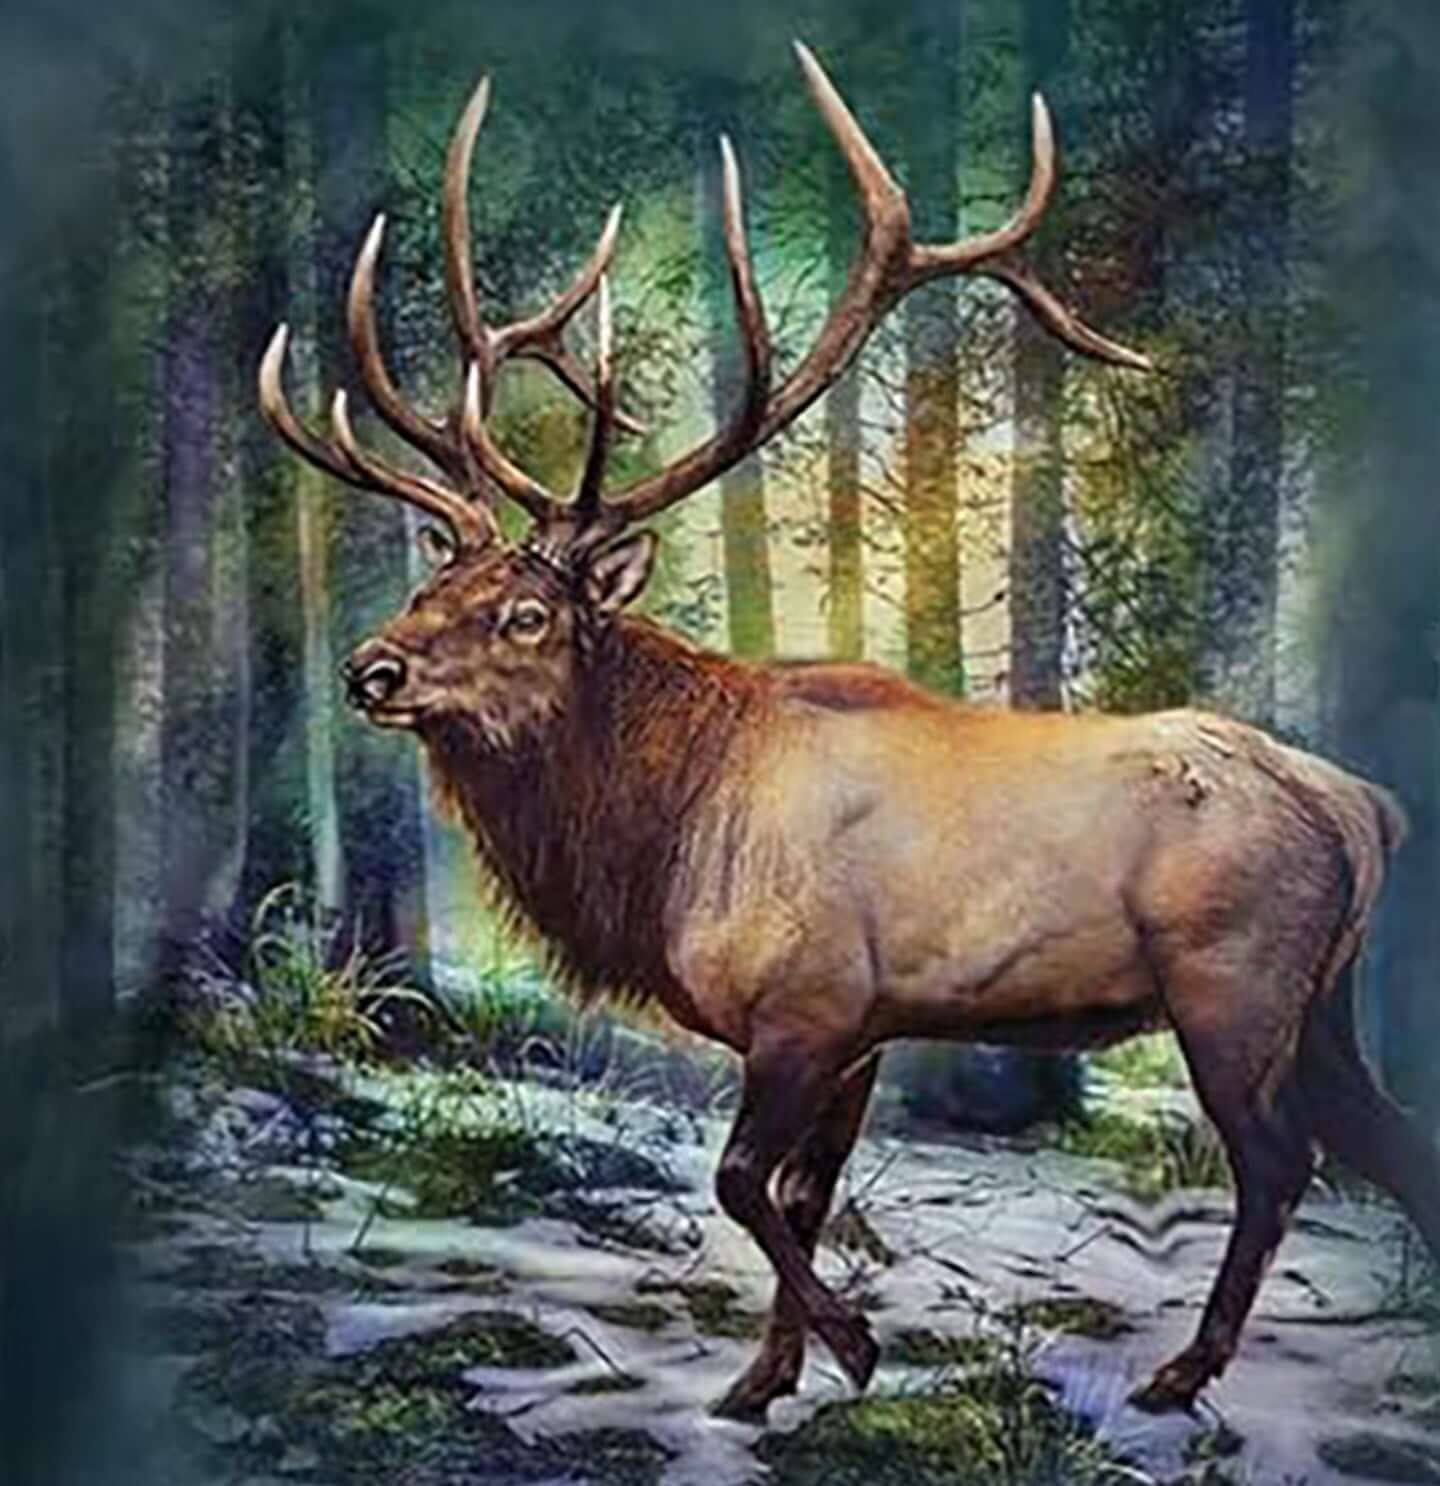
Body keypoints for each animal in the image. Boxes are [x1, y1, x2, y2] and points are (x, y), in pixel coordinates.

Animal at [258, 42, 1440, 1424]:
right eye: (431, 584)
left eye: (526, 612)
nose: (370, 667)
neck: (664, 842)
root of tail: (1363, 806)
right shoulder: (866, 1028)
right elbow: (804, 1195)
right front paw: (761, 1380)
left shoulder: (809, 1006)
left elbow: (740, 1182)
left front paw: (852, 1345)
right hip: (1323, 1002)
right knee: (1393, 1145)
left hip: (1234, 984)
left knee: (1280, 1163)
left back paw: (1179, 1372)